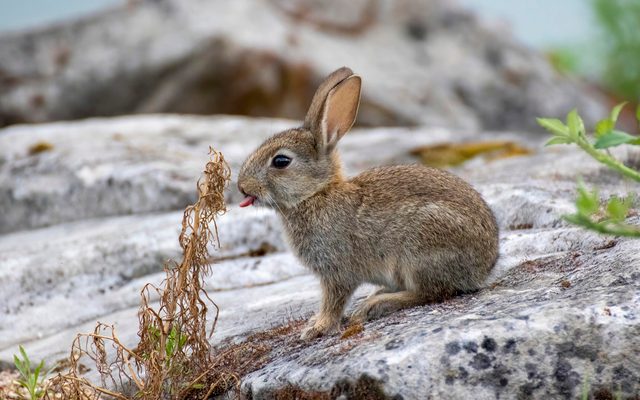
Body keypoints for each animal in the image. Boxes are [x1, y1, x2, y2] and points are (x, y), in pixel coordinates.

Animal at [237, 67, 499, 340]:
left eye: (281, 161)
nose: (241, 186)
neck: (316, 194)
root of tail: (484, 268)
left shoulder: (337, 270)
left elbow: (333, 301)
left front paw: (317, 328)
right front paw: (315, 324)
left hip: (420, 247)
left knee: (432, 292)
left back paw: (376, 305)